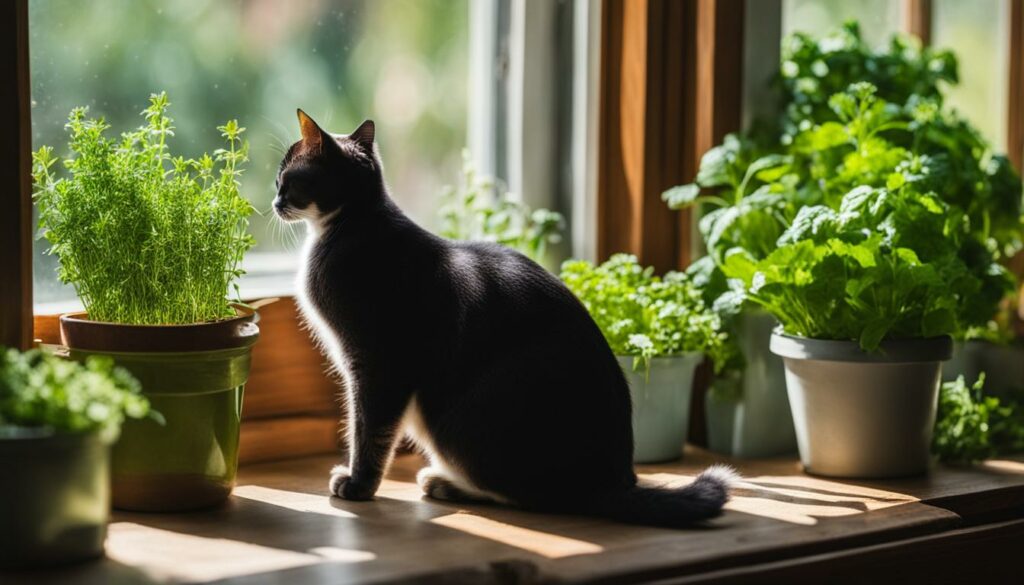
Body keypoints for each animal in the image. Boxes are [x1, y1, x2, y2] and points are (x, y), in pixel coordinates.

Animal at [272, 109, 733, 524]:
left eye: (286, 179)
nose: (274, 201)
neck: (357, 222)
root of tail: (613, 482)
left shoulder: (379, 364)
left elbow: (369, 429)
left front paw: (358, 485)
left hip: (459, 421)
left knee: (529, 497)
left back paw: (446, 483)